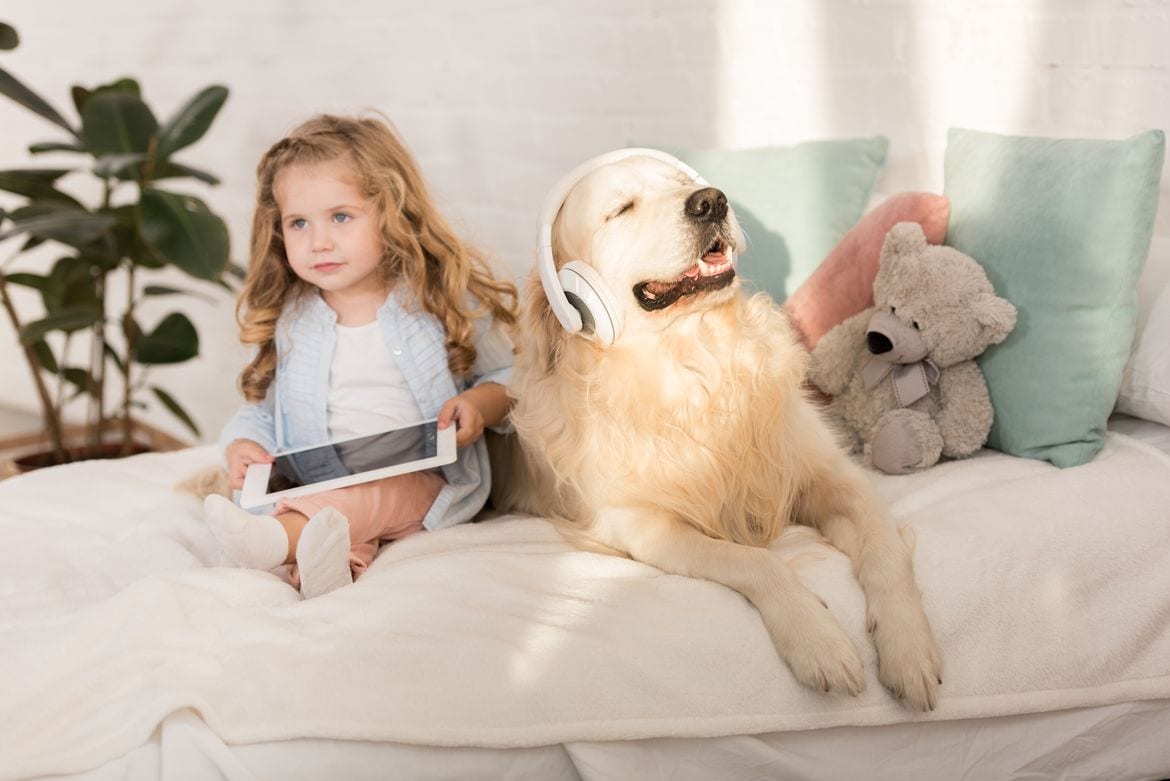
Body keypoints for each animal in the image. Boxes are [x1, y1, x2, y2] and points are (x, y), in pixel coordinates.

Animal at [498, 149, 945, 710]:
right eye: (621, 209)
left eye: (681, 182)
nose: (710, 201)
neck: (696, 357)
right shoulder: (642, 525)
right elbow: (756, 562)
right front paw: (819, 641)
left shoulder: (832, 475)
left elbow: (887, 552)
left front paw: (909, 647)